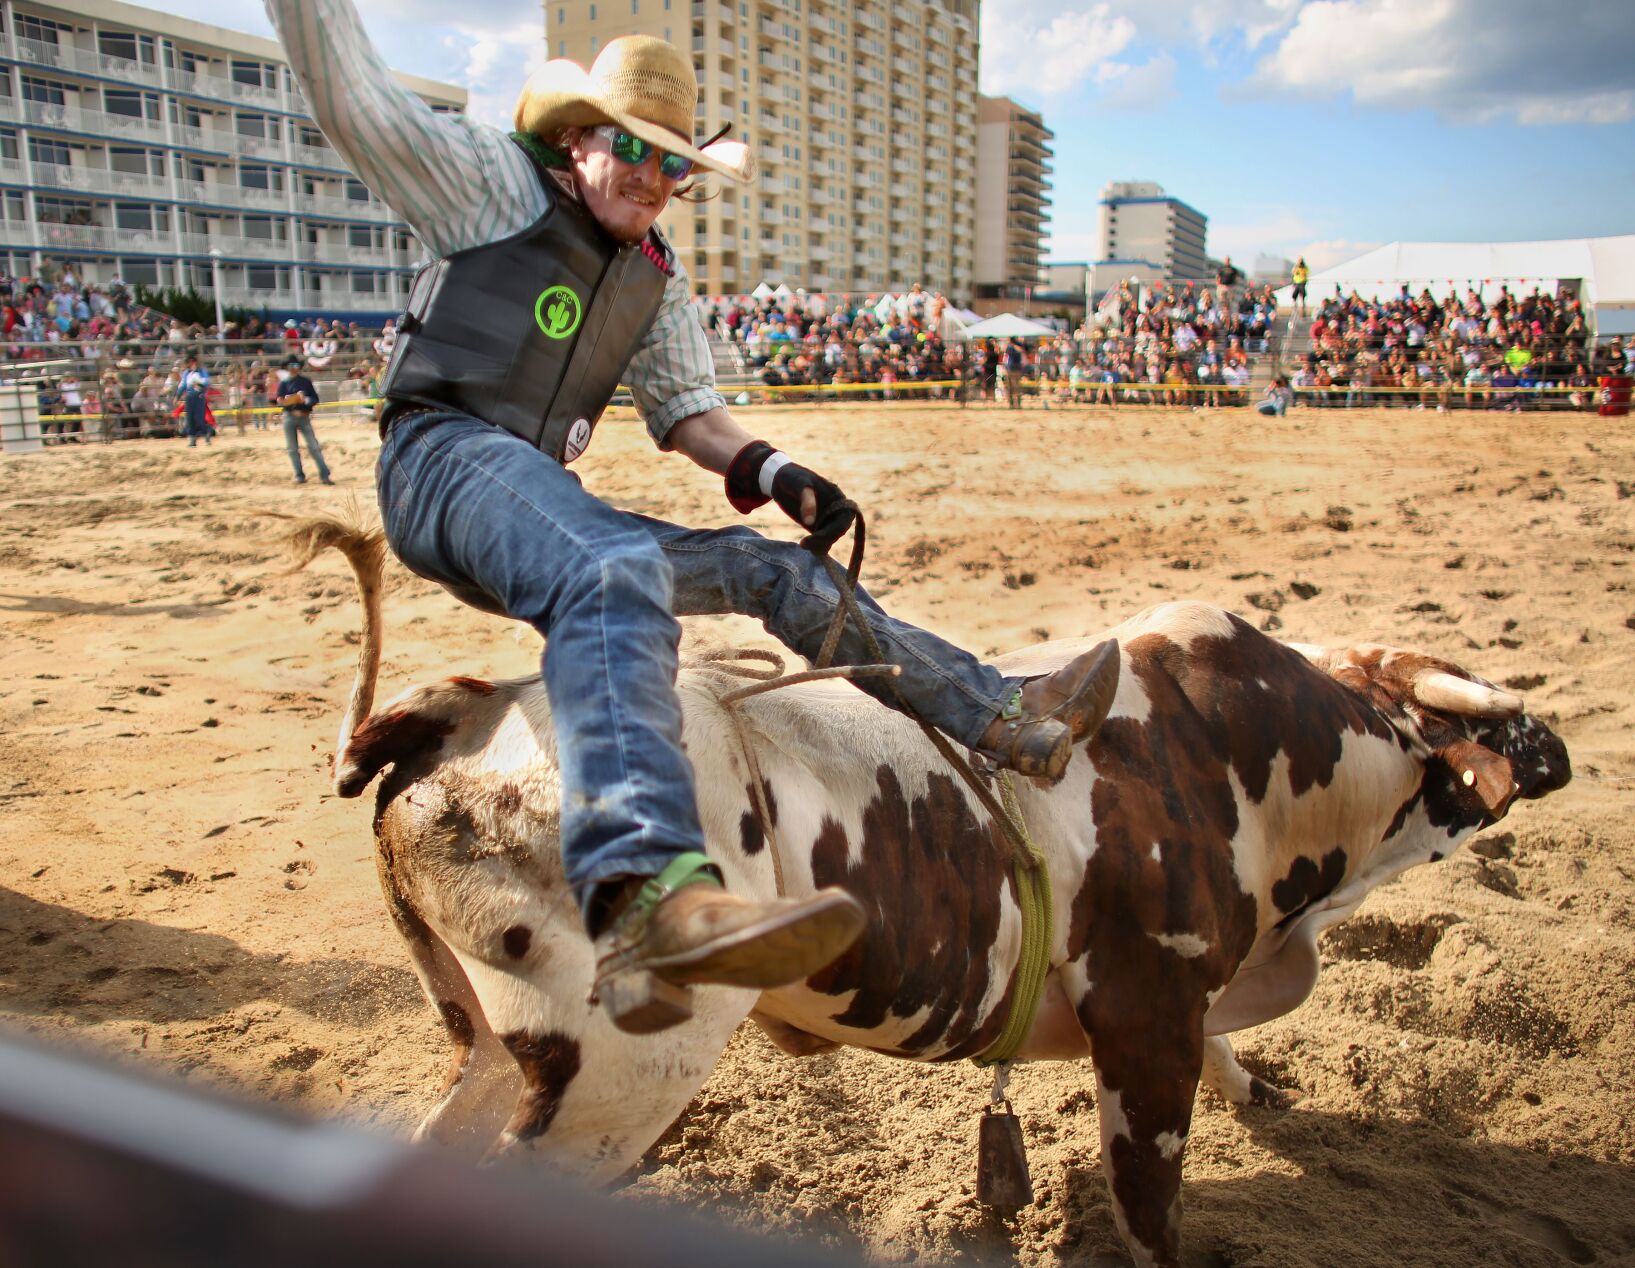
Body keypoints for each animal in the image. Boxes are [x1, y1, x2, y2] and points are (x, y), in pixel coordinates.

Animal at [294, 516, 1569, 1268]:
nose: (1554, 748)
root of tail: (467, 710)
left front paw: (1267, 1089)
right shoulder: (1145, 1011)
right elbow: (1151, 1197)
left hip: (492, 1048)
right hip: (611, 1077)